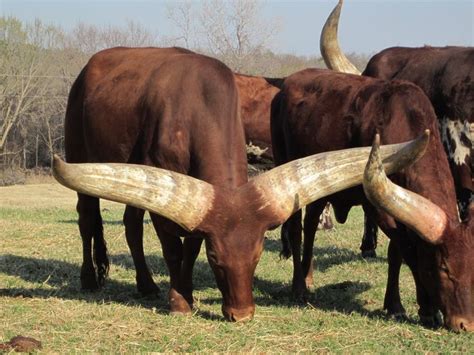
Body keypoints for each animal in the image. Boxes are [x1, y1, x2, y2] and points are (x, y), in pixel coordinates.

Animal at [56, 46, 426, 322]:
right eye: (217, 260)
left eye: (257, 255)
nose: (242, 314)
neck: (197, 102)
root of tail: (89, 66)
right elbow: (173, 248)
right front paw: (179, 302)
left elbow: (189, 247)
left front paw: (186, 293)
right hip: (80, 151)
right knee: (87, 218)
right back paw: (89, 278)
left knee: (131, 225)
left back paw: (146, 285)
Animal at [270, 68, 474, 332]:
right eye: (444, 268)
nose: (466, 323)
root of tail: (287, 84)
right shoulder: (377, 208)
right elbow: (408, 250)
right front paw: (427, 309)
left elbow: (395, 253)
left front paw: (395, 304)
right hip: (289, 168)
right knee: (296, 229)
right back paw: (299, 287)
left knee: (312, 225)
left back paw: (308, 275)